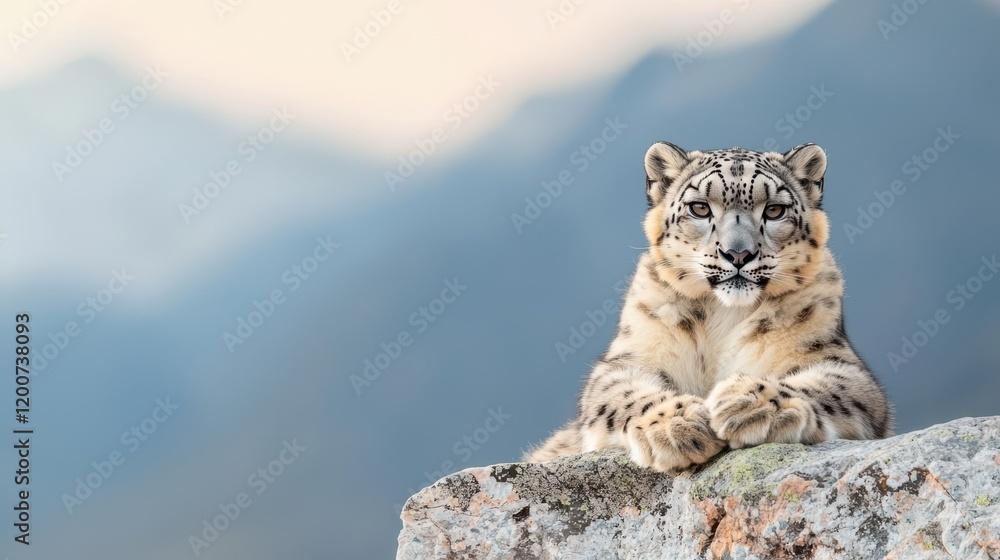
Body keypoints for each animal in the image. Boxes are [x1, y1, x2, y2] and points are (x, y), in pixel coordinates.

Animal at [524, 141, 892, 473]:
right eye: (700, 208)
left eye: (774, 210)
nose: (739, 253)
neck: (724, 314)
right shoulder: (630, 357)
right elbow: (621, 394)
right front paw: (677, 424)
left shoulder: (834, 360)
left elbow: (828, 388)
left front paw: (751, 404)